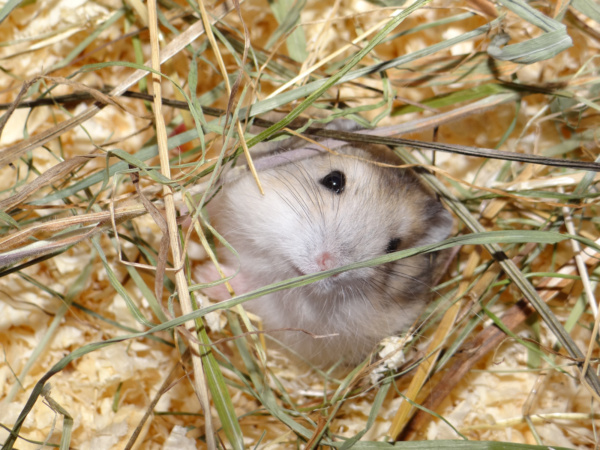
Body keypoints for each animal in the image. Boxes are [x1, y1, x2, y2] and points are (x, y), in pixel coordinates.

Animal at [195, 139, 452, 368]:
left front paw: (204, 275)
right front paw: (202, 269)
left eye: (394, 246)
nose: (328, 266)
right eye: (333, 180)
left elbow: (247, 293)